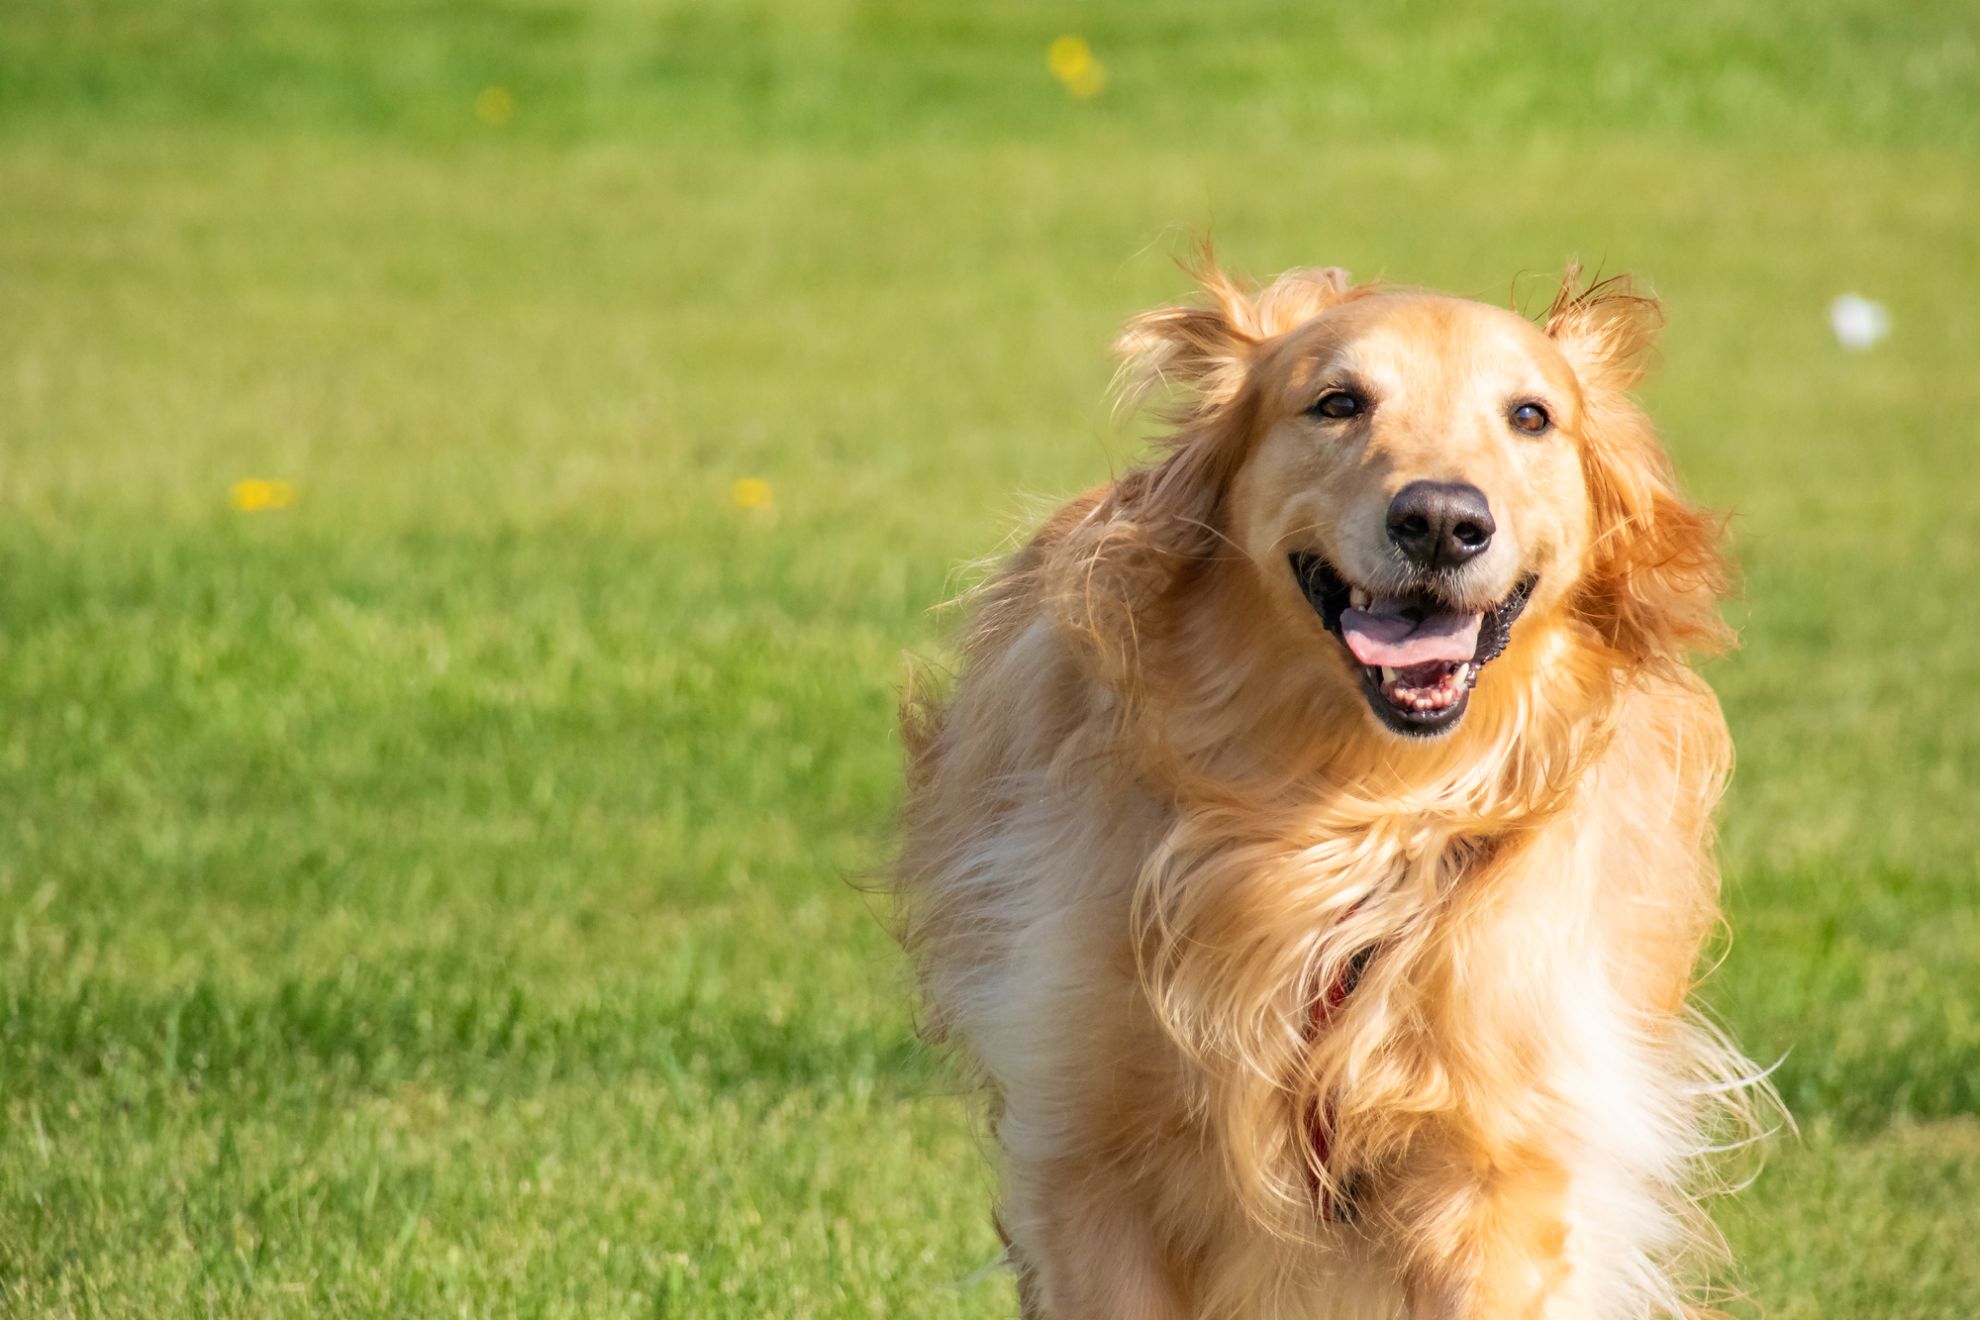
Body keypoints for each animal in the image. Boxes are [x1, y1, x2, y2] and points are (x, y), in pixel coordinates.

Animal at [898, 257, 1766, 1320]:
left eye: (1531, 415)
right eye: (1338, 403)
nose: (1441, 521)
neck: (1351, 811)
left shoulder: (1502, 1160)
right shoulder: (1089, 1148)